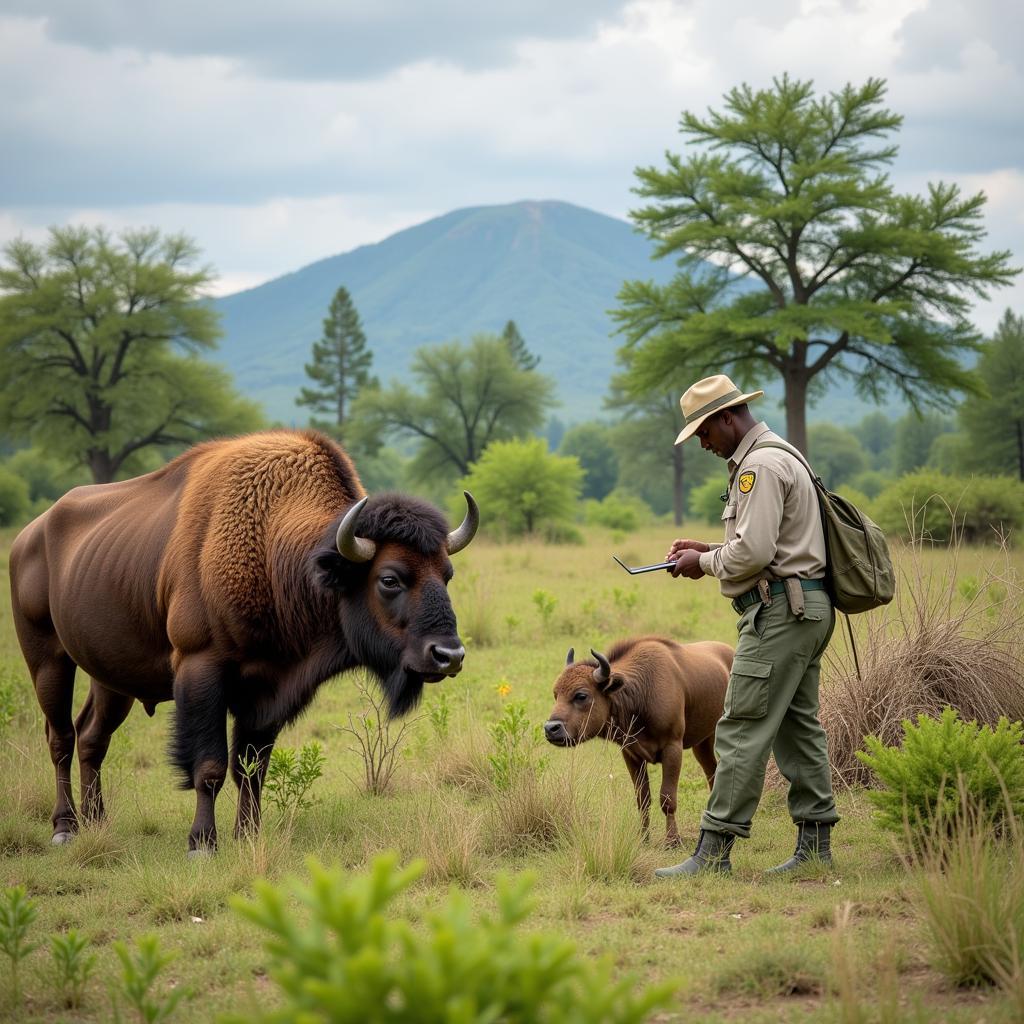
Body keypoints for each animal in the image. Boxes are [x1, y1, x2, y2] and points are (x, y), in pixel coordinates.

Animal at [9, 428, 479, 851]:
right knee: (60, 737)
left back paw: (97, 822)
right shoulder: (201, 669)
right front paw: (202, 842)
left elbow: (251, 767)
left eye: (446, 575)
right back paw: (65, 828)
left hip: (111, 678)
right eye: (389, 579)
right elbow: (210, 765)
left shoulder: (269, 690)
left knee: (92, 736)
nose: (449, 655)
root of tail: (28, 536)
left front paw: (249, 835)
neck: (275, 550)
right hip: (47, 660)